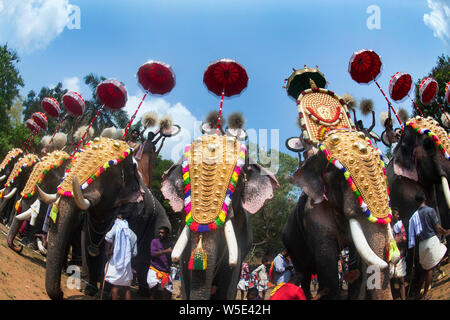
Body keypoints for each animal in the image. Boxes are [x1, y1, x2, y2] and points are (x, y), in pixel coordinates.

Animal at [37, 137, 171, 300]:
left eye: (104, 174)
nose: (61, 293)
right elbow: (86, 240)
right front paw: (87, 290)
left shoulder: (136, 213)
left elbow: (108, 251)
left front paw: (103, 293)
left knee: (143, 266)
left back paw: (143, 294)